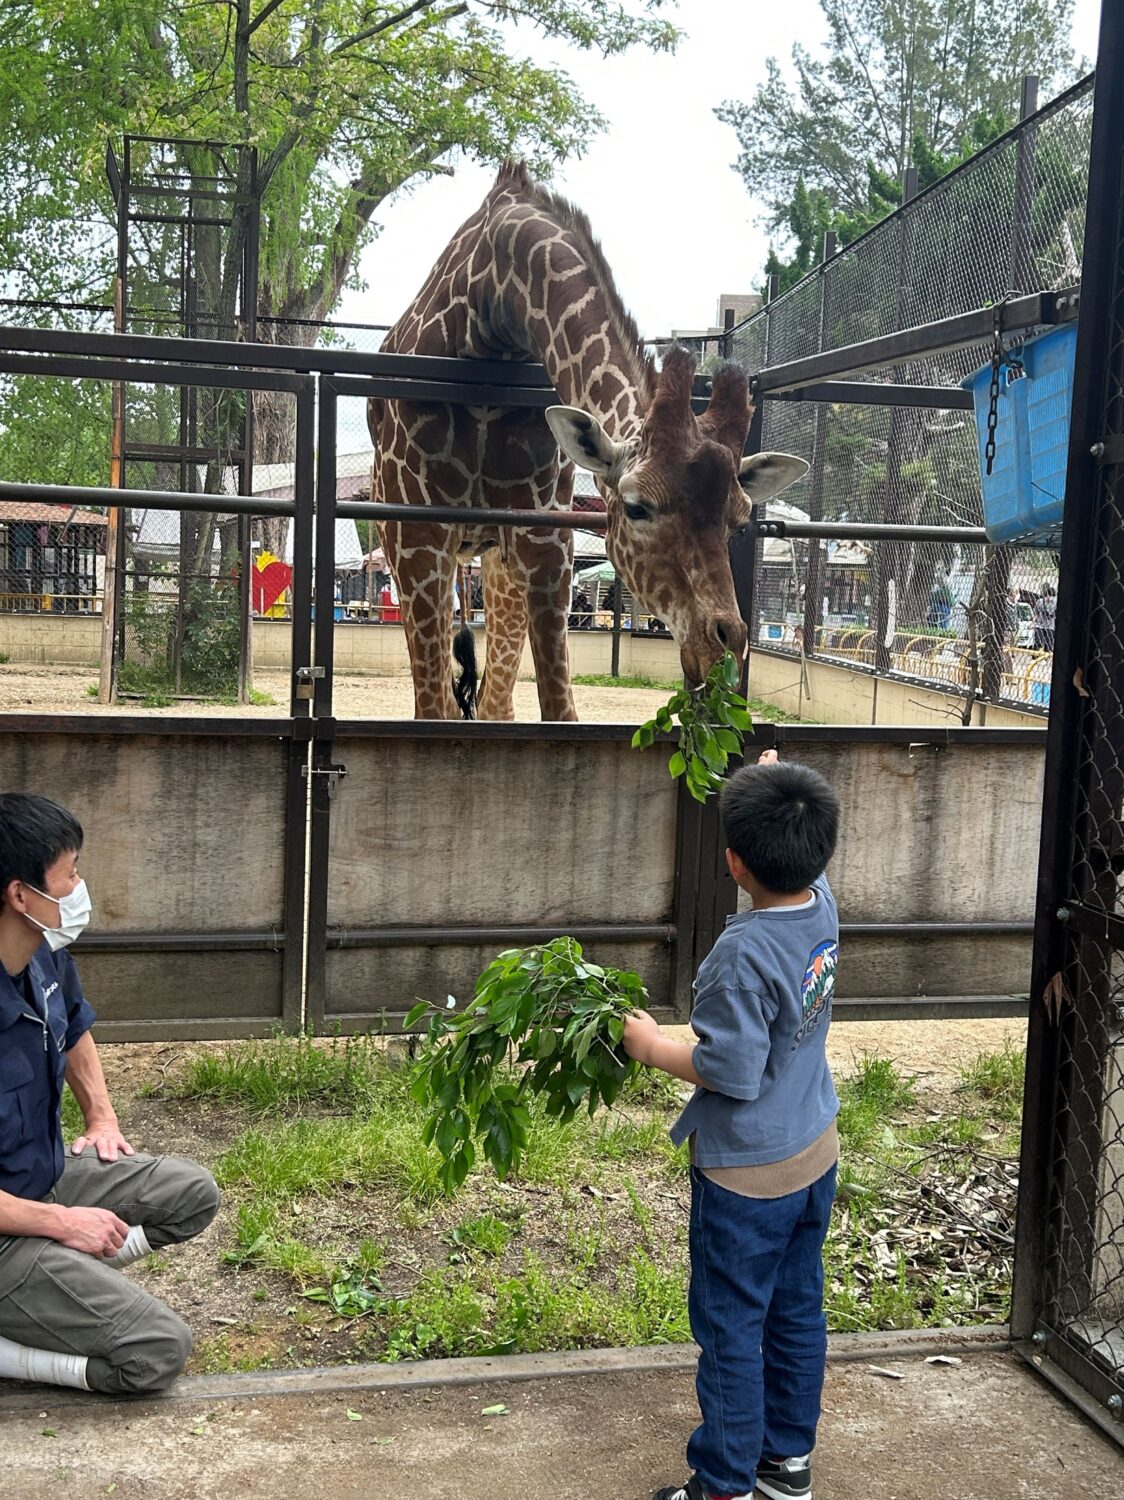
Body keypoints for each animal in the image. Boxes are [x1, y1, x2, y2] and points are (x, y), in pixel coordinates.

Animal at [367, 164, 804, 720]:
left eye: (741, 520)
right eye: (637, 507)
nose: (722, 647)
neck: (492, 312)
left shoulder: (545, 540)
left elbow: (559, 711)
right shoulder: (418, 537)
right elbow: (434, 714)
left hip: (497, 562)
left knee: (493, 702)